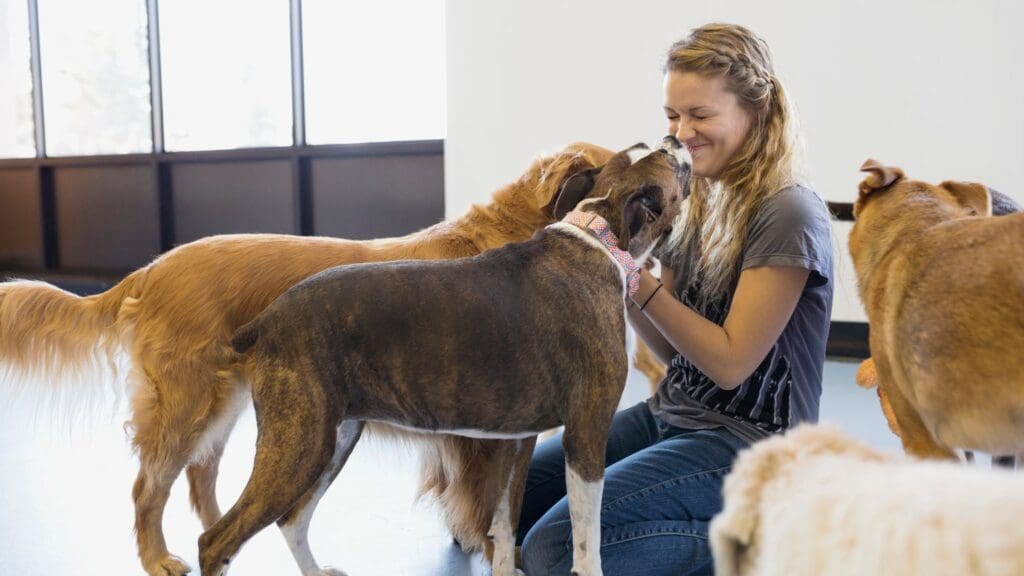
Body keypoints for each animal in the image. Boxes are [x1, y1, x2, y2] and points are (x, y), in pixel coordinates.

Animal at [0, 141, 614, 569]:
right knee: (149, 487)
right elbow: (489, 508)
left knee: (206, 479)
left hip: (238, 406)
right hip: (194, 404)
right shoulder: (481, 434)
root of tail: (151, 269)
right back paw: (158, 558)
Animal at [197, 139, 696, 573]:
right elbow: (586, 543)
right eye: (671, 162)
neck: (598, 237)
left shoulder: (517, 443)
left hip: (331, 440)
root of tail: (266, 320)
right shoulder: (587, 437)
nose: (677, 139)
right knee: (217, 540)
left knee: (292, 519)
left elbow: (503, 526)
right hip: (299, 445)